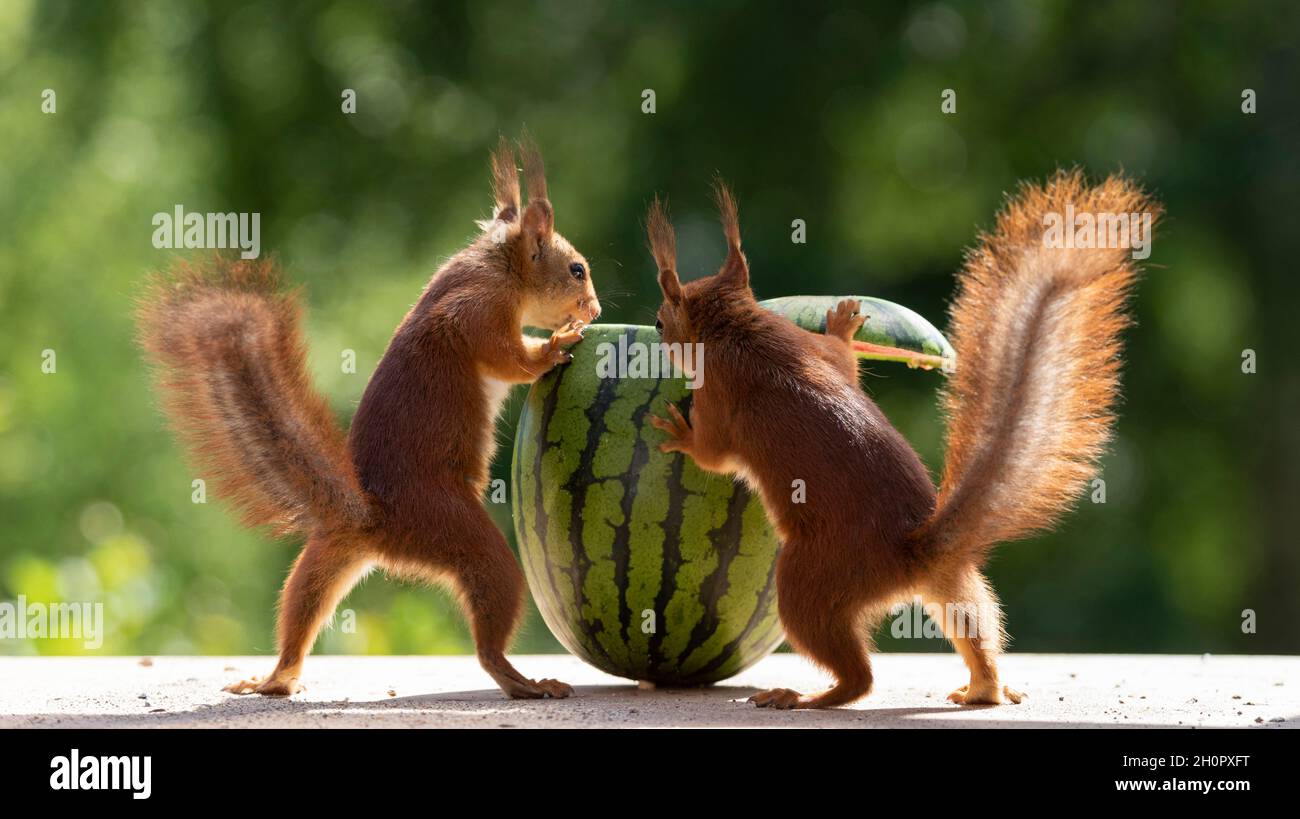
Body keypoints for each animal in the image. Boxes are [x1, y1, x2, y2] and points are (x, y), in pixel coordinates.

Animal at [137, 137, 598, 702]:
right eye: (576, 269)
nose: (596, 311)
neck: (493, 265)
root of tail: (375, 521)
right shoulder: (475, 311)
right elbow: (507, 358)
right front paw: (555, 345)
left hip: (326, 557)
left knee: (301, 608)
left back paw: (272, 679)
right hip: (457, 531)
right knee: (490, 639)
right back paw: (527, 682)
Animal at [650, 175, 1159, 712]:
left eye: (662, 323)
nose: (657, 330)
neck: (739, 327)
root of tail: (908, 556)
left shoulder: (717, 392)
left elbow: (713, 453)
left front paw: (679, 434)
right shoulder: (808, 348)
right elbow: (841, 360)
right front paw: (844, 325)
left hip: (808, 582)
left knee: (858, 678)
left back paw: (806, 697)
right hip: (955, 585)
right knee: (975, 628)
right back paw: (985, 688)